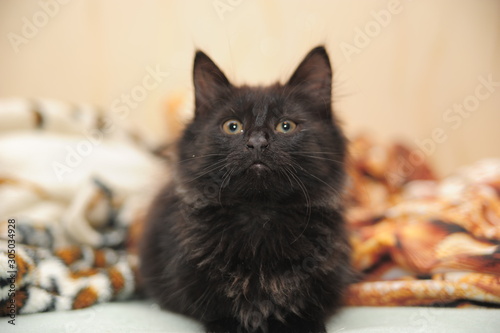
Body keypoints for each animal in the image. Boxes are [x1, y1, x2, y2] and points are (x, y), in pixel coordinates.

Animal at [139, 46, 354, 332]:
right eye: (232, 126)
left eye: (285, 126)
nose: (257, 142)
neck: (259, 214)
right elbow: (222, 313)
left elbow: (306, 313)